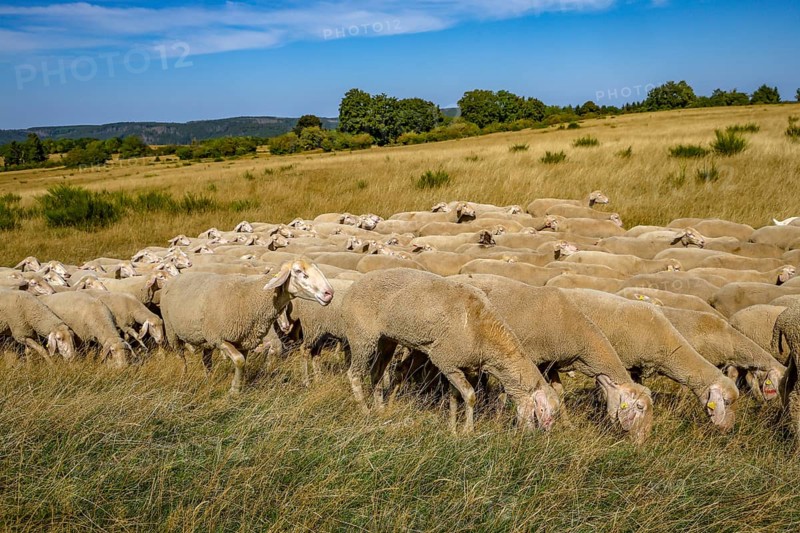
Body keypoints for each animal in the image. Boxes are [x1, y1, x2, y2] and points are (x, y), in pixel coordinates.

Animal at [160, 259, 334, 393]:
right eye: (298, 271)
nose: (329, 293)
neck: (250, 297)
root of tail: (174, 279)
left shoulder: (243, 341)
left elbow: (242, 362)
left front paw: (238, 386)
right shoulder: (220, 338)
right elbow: (239, 361)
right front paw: (234, 391)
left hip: (205, 339)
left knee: (206, 359)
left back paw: (208, 378)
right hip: (172, 331)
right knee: (181, 357)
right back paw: (183, 377)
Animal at [342, 269, 560, 433]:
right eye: (541, 410)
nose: (540, 434)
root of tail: (353, 285)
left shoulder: (459, 366)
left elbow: (455, 398)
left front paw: (453, 429)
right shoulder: (444, 359)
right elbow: (470, 396)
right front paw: (467, 431)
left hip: (385, 339)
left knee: (376, 373)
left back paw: (380, 408)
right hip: (361, 335)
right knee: (354, 374)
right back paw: (365, 410)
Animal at [455, 274, 653, 443]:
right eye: (640, 407)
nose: (642, 441)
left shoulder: (551, 362)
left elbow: (559, 392)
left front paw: (567, 424)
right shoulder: (524, 360)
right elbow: (507, 393)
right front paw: (497, 422)